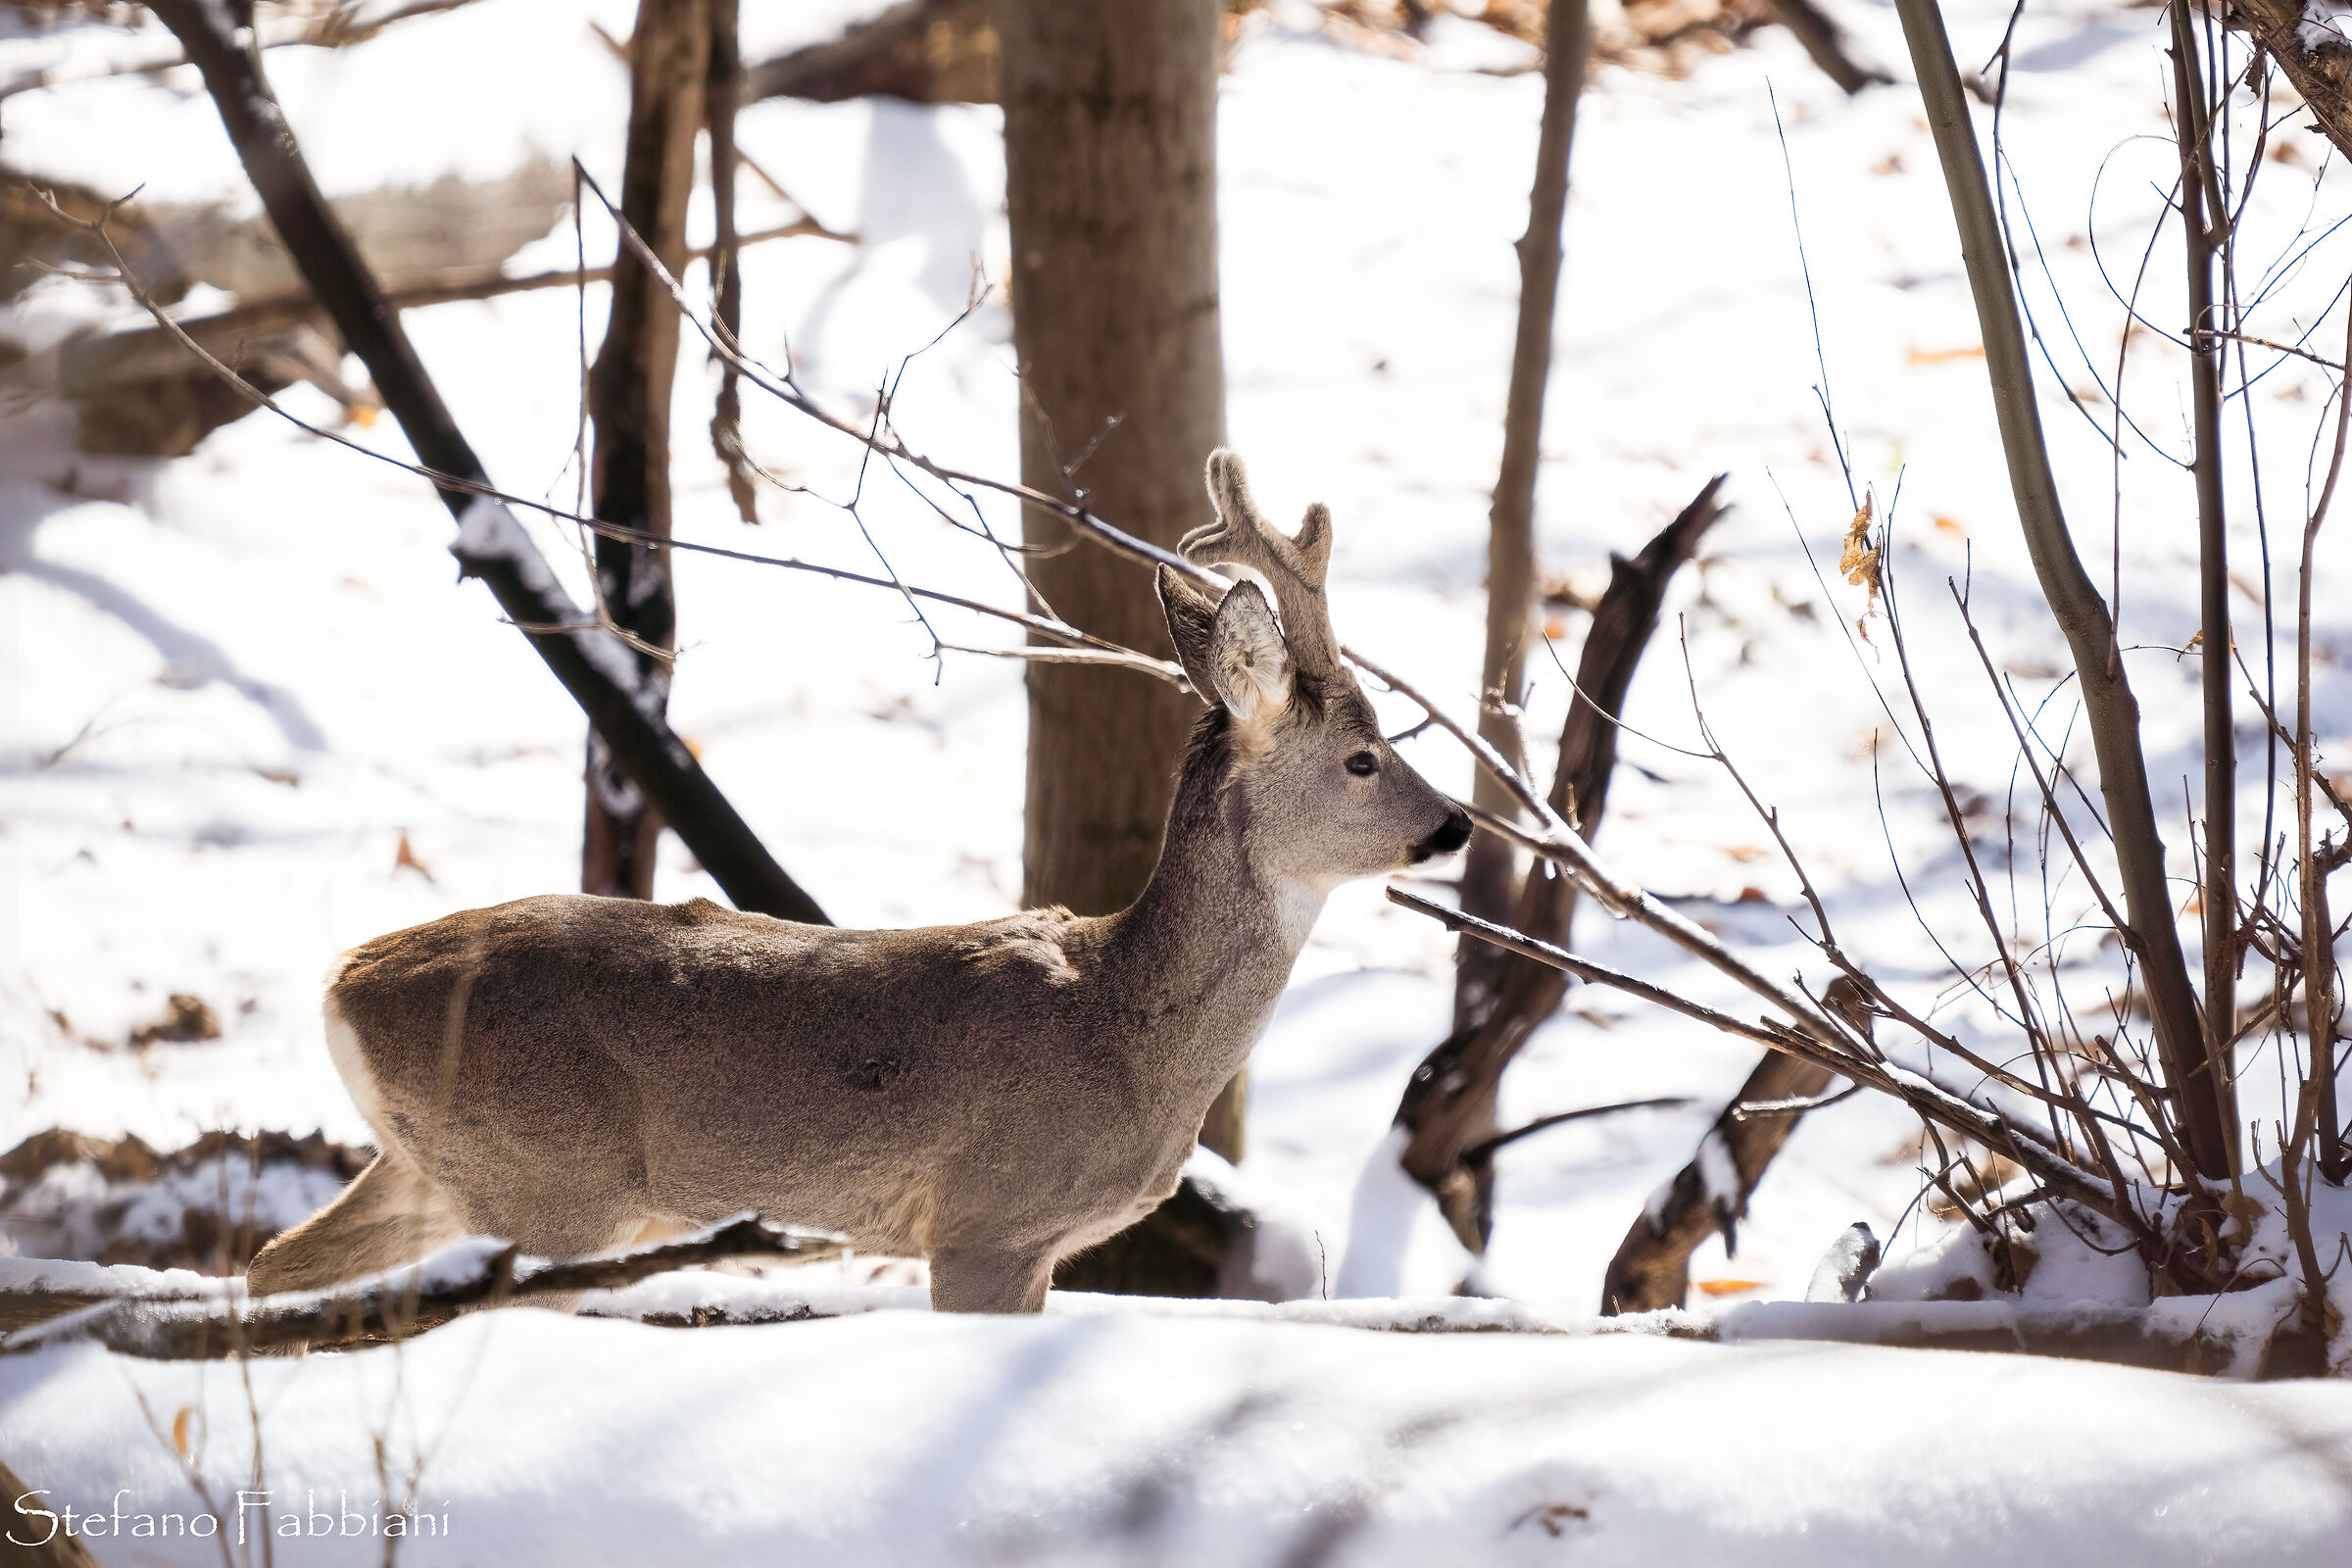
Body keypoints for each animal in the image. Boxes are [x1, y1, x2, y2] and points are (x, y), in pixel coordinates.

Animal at [245, 451, 1472, 1313]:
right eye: (1365, 757)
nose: (1454, 824)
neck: (1126, 1026)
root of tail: (340, 983)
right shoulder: (988, 1218)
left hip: (434, 1167)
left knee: (270, 1267)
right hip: (552, 1181)